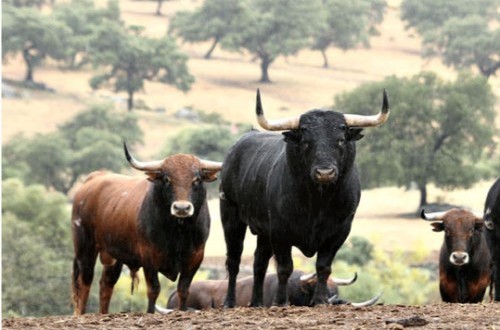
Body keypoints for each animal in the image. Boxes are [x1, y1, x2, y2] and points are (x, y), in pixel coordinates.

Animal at [69, 143, 222, 314]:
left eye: (196, 179)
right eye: (166, 179)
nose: (181, 208)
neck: (177, 232)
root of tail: (93, 179)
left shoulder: (195, 257)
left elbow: (183, 289)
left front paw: (182, 310)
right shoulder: (149, 257)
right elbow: (154, 289)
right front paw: (150, 312)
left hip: (113, 255)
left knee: (106, 284)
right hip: (85, 248)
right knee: (84, 282)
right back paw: (81, 313)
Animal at [220, 88, 390, 306]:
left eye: (340, 140)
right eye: (306, 142)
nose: (325, 173)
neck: (317, 202)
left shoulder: (340, 231)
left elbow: (323, 266)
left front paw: (320, 300)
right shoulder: (279, 231)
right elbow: (285, 267)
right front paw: (280, 301)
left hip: (263, 233)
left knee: (259, 262)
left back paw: (256, 302)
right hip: (231, 217)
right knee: (234, 260)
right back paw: (229, 301)